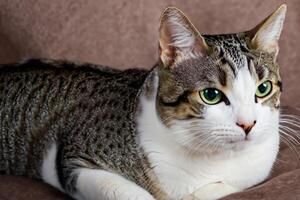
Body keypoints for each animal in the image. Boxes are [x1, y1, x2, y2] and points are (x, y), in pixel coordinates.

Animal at [0, 3, 286, 200]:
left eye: (263, 89)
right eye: (211, 95)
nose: (248, 124)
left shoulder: (252, 175)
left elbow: (222, 189)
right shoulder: (73, 158)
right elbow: (131, 193)